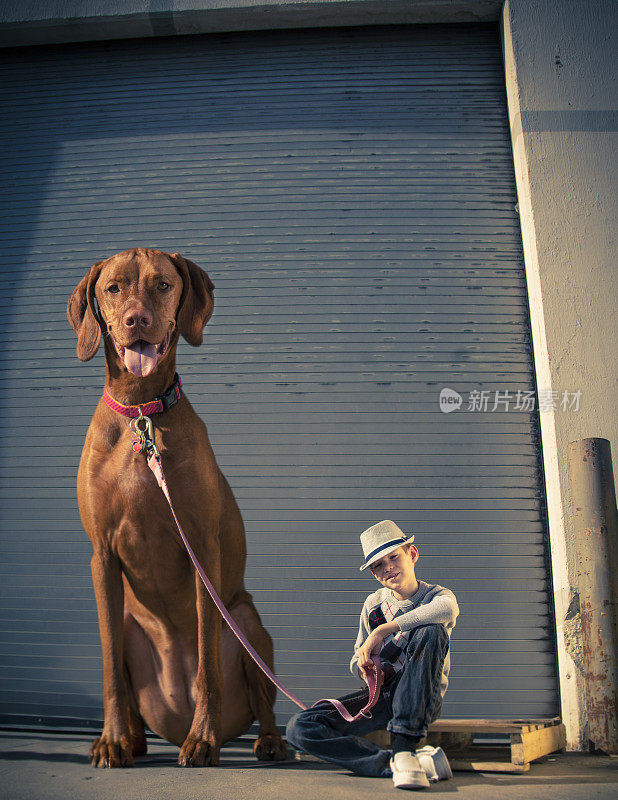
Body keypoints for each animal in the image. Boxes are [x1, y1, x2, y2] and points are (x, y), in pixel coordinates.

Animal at [66, 247, 288, 764]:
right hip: (131, 624)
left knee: (262, 700)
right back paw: (130, 738)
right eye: (113, 288)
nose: (137, 320)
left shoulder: (201, 549)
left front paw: (203, 740)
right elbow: (108, 669)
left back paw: (265, 740)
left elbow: (208, 665)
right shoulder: (101, 556)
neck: (141, 414)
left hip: (248, 624)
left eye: (163, 285)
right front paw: (111, 741)